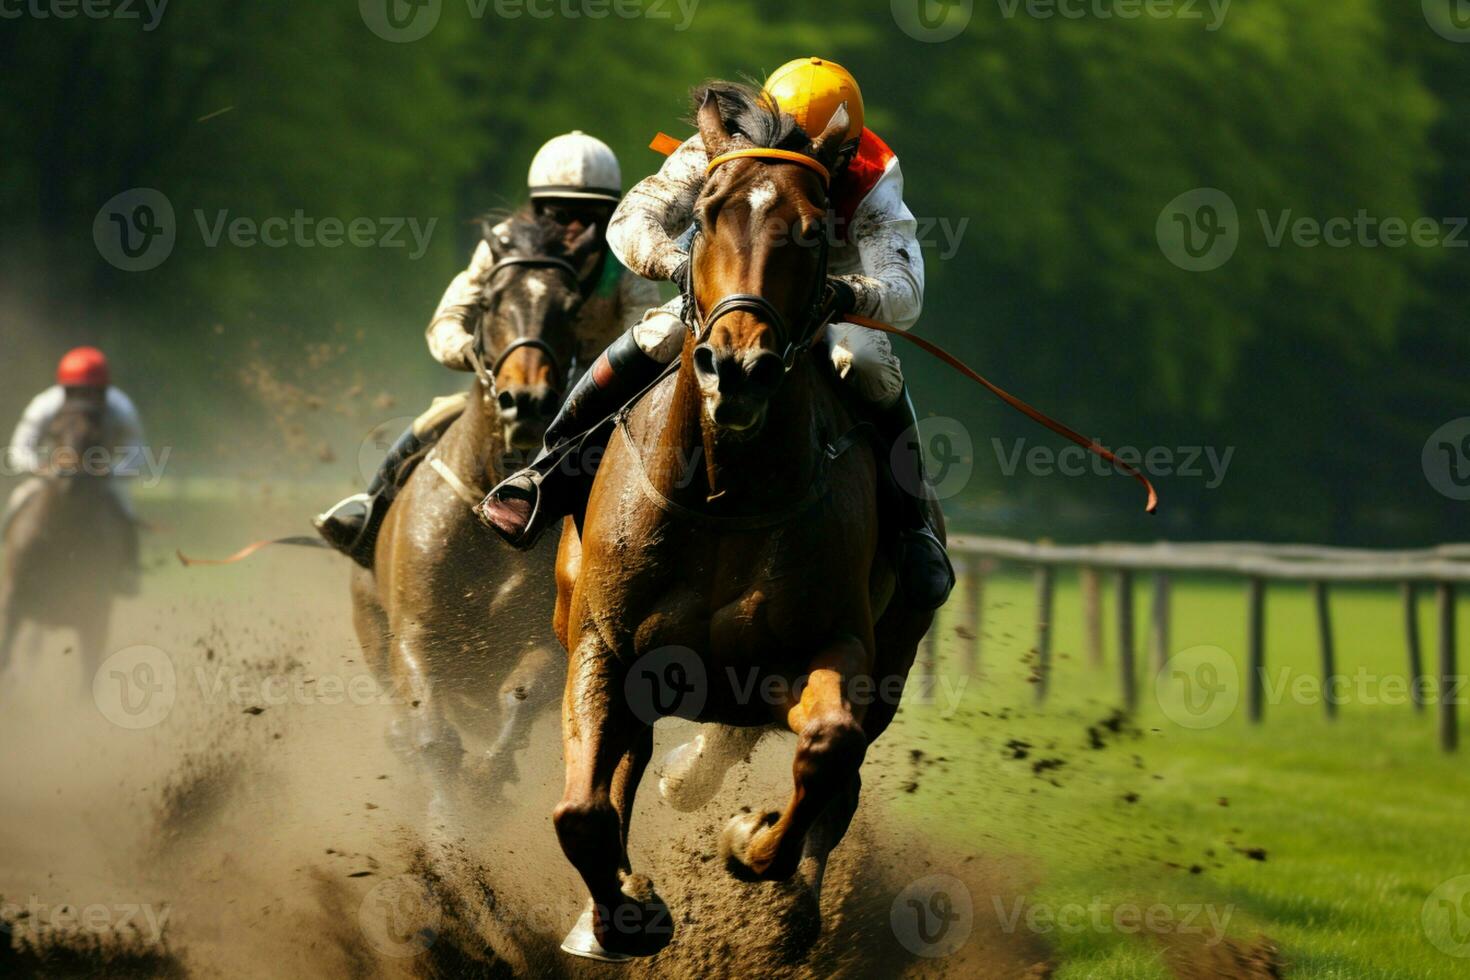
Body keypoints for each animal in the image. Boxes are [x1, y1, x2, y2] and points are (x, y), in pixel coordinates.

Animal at [354, 213, 614, 822]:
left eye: (570, 306)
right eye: (492, 299)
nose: (528, 400)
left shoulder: (545, 639)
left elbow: (518, 699)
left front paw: (485, 783)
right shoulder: (415, 636)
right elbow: (433, 734)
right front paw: (447, 822)